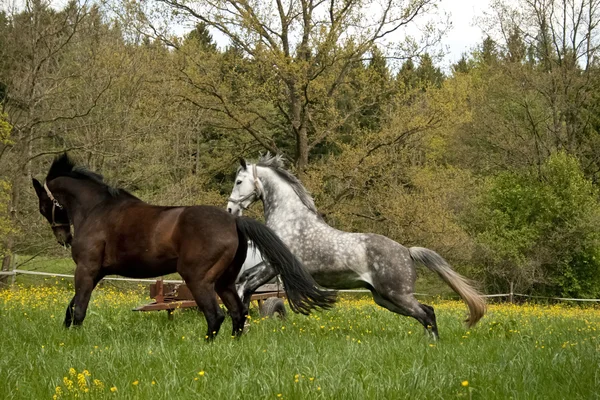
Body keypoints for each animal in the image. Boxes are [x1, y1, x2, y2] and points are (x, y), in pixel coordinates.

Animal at [32, 155, 336, 340]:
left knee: (216, 316)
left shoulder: (86, 269)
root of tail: (233, 220)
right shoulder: (95, 273)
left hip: (198, 279)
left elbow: (78, 310)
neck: (97, 210)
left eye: (43, 205)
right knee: (237, 314)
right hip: (225, 282)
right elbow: (71, 308)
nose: (63, 238)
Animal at [227, 154, 486, 338]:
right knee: (425, 314)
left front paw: (239, 327)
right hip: (385, 298)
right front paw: (242, 327)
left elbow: (245, 285)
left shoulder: (273, 265)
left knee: (428, 314)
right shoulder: (271, 266)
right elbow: (245, 284)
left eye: (239, 181)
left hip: (396, 294)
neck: (291, 219)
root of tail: (407, 252)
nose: (230, 209)